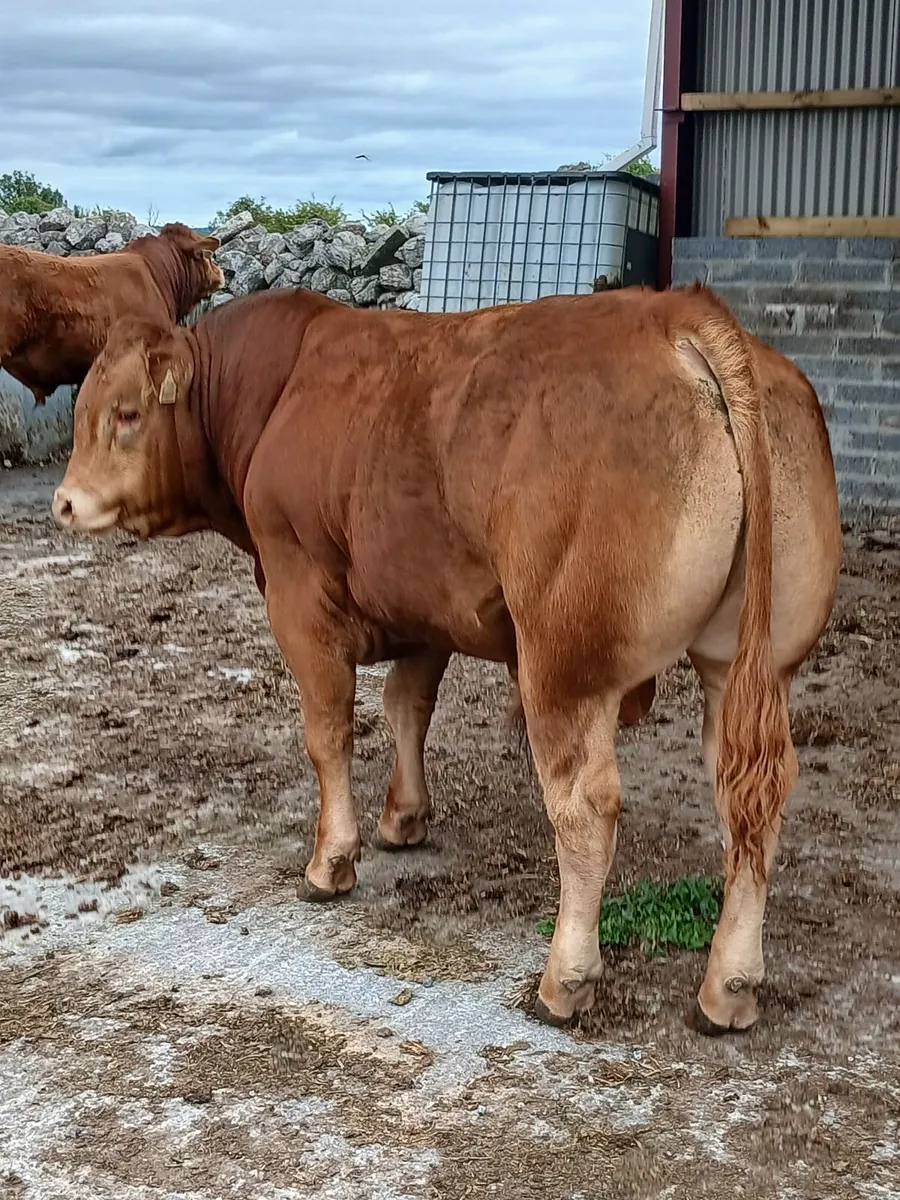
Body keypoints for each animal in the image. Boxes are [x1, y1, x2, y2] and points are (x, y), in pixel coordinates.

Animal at [51, 283, 842, 1034]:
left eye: (126, 413)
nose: (63, 503)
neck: (274, 389)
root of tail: (681, 314)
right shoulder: (422, 601)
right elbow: (408, 704)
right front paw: (404, 818)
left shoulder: (298, 590)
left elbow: (329, 732)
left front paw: (331, 861)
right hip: (749, 667)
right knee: (752, 797)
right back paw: (728, 987)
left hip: (563, 665)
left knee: (586, 808)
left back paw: (565, 981)